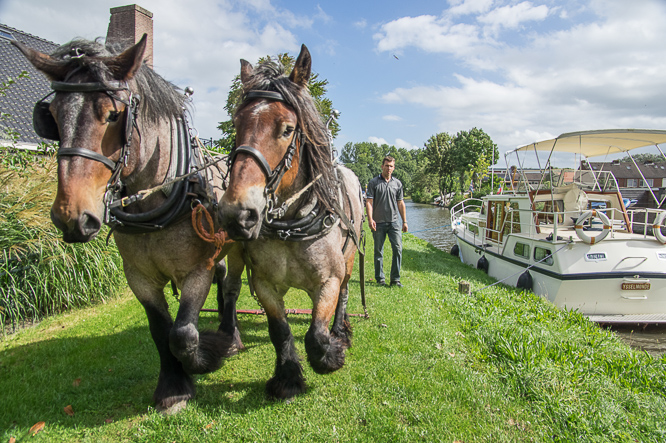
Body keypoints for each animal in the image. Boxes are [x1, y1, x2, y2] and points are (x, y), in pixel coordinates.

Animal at [14, 36, 244, 414]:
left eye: (113, 114)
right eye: (53, 116)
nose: (71, 216)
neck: (155, 202)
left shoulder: (196, 269)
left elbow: (183, 333)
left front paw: (206, 356)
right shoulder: (138, 276)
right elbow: (160, 330)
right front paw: (173, 387)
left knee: (231, 288)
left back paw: (231, 337)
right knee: (223, 281)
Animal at [219, 44, 364, 398]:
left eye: (286, 129)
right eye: (237, 122)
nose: (237, 212)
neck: (291, 226)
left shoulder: (328, 280)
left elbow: (316, 333)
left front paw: (330, 354)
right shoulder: (264, 284)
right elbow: (279, 330)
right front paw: (287, 377)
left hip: (349, 260)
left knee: (345, 294)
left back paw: (341, 331)